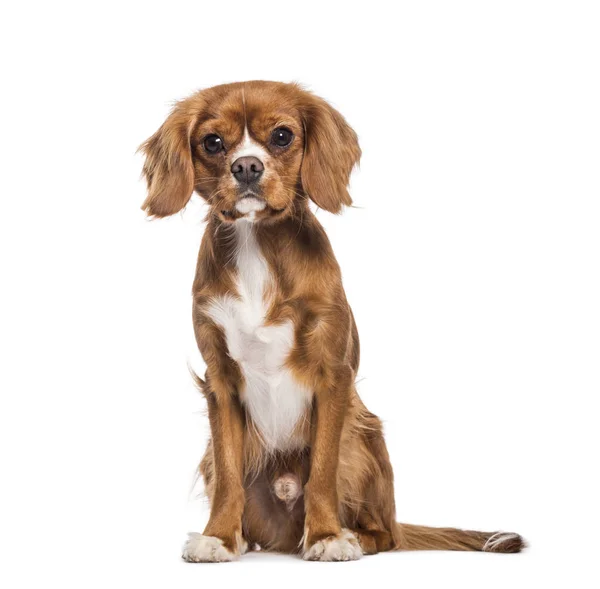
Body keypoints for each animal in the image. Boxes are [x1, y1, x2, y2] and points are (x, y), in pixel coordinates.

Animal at [139, 79, 520, 560]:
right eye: (213, 142)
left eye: (282, 136)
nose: (246, 167)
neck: (257, 242)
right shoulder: (220, 381)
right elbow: (228, 476)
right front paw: (219, 537)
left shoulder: (331, 374)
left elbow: (322, 470)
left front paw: (325, 536)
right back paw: (244, 538)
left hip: (362, 436)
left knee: (386, 533)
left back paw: (354, 535)